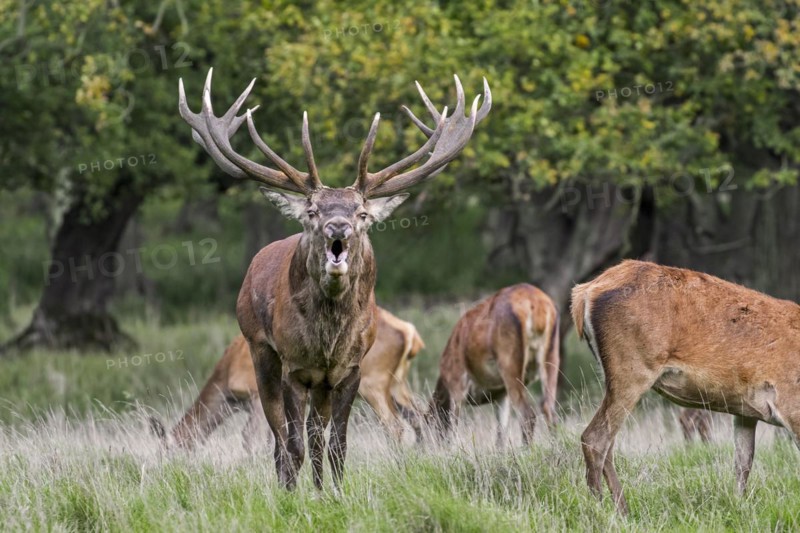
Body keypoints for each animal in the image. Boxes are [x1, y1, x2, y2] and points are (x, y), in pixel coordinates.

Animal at [149, 307, 426, 449]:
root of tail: (410, 333)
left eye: (166, 453)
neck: (226, 379)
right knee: (420, 418)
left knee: (395, 426)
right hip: (397, 382)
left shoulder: (254, 393)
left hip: (373, 382)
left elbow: (250, 438)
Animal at [178, 68, 490, 489]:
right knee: (281, 438)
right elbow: (291, 443)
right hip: (261, 352)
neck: (328, 341)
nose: (337, 226)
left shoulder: (349, 370)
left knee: (316, 433)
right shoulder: (293, 367)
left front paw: (335, 494)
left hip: (331, 383)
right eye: (312, 210)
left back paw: (319, 485)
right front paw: (291, 495)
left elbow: (337, 444)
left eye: (361, 212)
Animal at [428, 284, 560, 447]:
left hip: (509, 360)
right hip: (552, 354)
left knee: (527, 414)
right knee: (549, 408)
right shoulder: (501, 393)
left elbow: (453, 428)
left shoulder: (457, 383)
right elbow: (501, 434)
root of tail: (537, 305)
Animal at [572, 259, 800, 515]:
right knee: (594, 438)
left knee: (608, 443)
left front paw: (738, 508)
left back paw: (621, 509)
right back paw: (604, 510)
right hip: (632, 369)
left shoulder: (746, 412)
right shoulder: (791, 403)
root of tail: (584, 292)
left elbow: (743, 463)